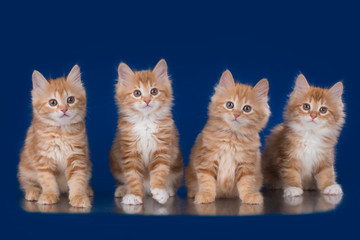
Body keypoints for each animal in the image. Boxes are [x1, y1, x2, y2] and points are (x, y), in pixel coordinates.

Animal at [17, 65, 93, 208]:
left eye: (70, 100)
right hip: (25, 168)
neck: (61, 132)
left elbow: (78, 180)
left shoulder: (77, 158)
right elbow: (48, 181)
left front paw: (78, 196)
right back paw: (33, 192)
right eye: (53, 102)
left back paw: (87, 189)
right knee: (28, 183)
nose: (64, 109)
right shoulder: (43, 159)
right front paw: (49, 195)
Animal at [109, 59, 183, 205]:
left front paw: (160, 191)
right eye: (137, 93)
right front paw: (134, 195)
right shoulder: (130, 152)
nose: (147, 100)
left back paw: (167, 190)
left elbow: (159, 172)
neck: (145, 122)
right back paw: (123, 190)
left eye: (154, 91)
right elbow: (133, 177)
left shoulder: (162, 149)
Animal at [186, 70, 270, 204]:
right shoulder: (206, 159)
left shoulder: (246, 164)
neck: (232, 138)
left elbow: (247, 182)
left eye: (247, 108)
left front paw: (249, 195)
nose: (236, 114)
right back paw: (193, 193)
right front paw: (205, 195)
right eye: (230, 105)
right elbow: (207, 180)